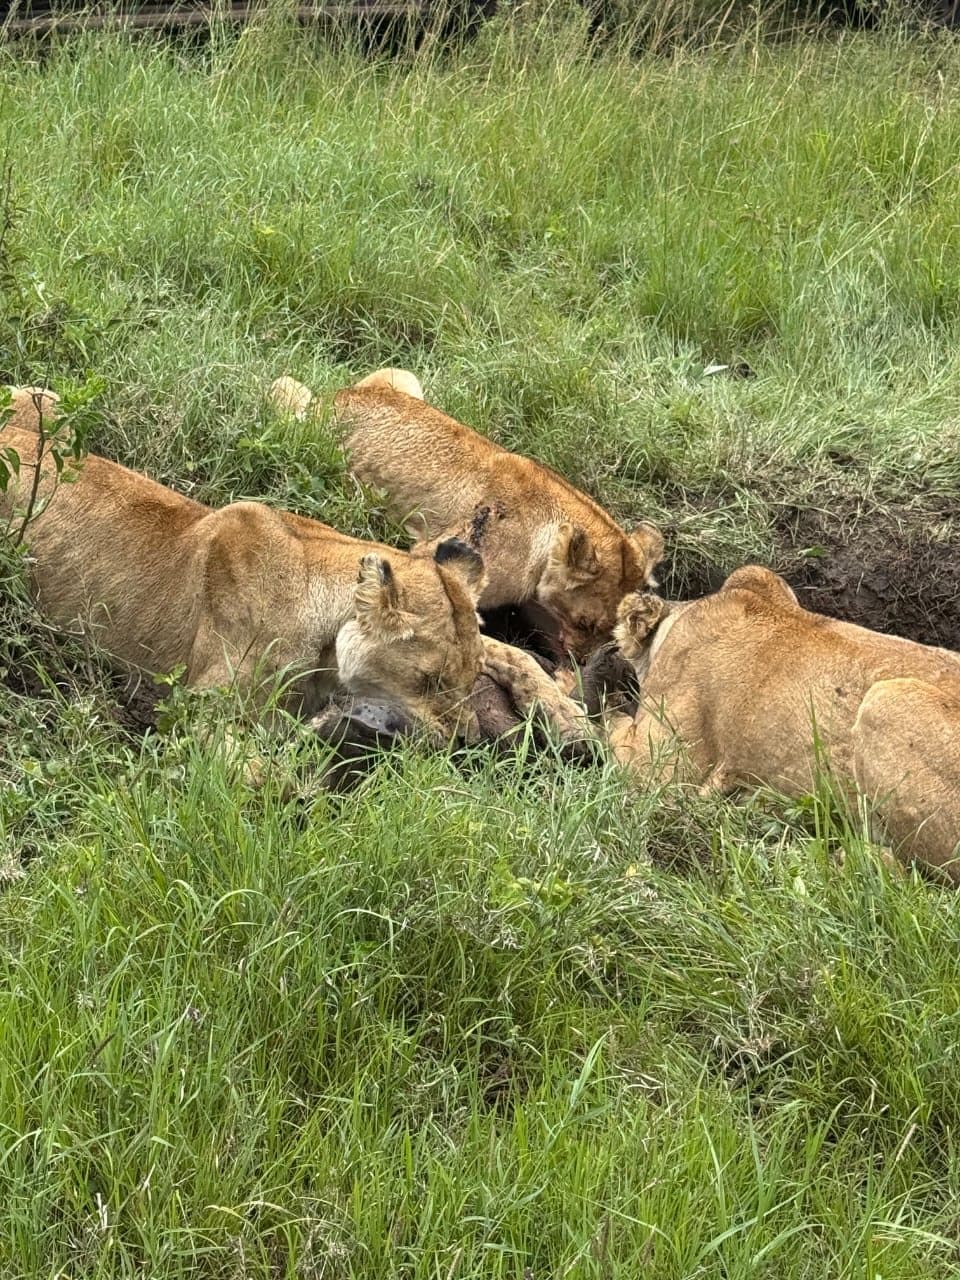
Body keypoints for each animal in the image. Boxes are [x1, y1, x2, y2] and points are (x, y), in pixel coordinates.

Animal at [268, 370, 664, 661]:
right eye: (584, 622)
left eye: (609, 628)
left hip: (401, 377)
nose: (582, 661)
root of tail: (336, 396)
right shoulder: (436, 553)